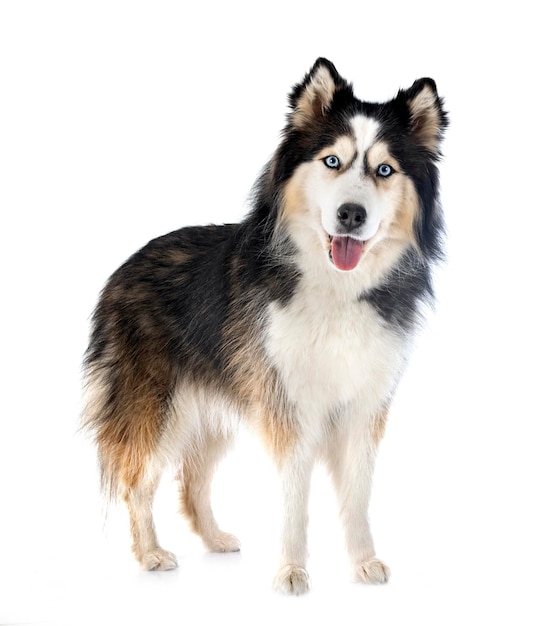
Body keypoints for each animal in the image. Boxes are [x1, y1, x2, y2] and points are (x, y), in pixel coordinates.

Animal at [82, 57, 448, 588]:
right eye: (332, 161)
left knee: (193, 480)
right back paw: (150, 553)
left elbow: (357, 497)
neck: (335, 286)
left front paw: (363, 561)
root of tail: (124, 267)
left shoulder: (363, 407)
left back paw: (215, 540)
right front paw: (292, 571)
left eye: (385, 170)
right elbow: (294, 498)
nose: (351, 215)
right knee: (138, 482)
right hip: (158, 408)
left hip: (210, 405)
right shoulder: (286, 403)